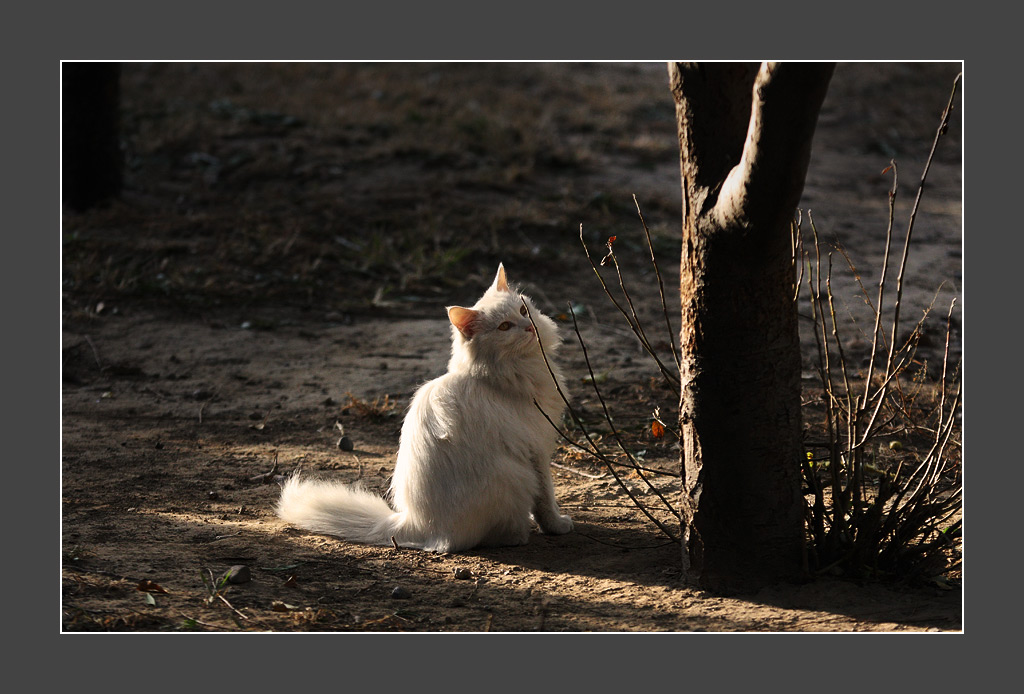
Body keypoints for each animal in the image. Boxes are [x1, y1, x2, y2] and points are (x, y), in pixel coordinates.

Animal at [276, 264, 573, 552]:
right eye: (505, 327)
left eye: (523, 310)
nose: (529, 327)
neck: (494, 375)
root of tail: (415, 524)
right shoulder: (537, 449)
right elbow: (546, 500)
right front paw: (557, 526)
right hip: (515, 476)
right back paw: (518, 535)